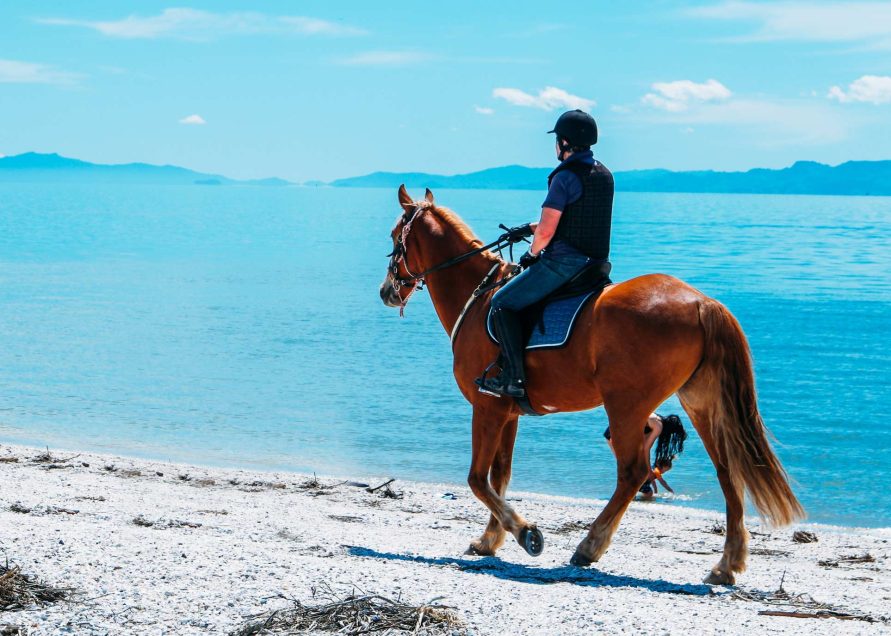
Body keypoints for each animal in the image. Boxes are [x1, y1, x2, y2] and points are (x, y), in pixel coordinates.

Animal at [379, 184, 803, 585]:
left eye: (395, 236)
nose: (387, 291)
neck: (480, 298)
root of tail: (701, 302)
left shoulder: (487, 407)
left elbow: (477, 479)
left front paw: (526, 533)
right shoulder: (507, 412)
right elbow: (499, 476)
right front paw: (490, 540)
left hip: (626, 405)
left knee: (633, 472)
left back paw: (590, 545)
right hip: (700, 403)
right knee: (726, 471)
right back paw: (726, 564)